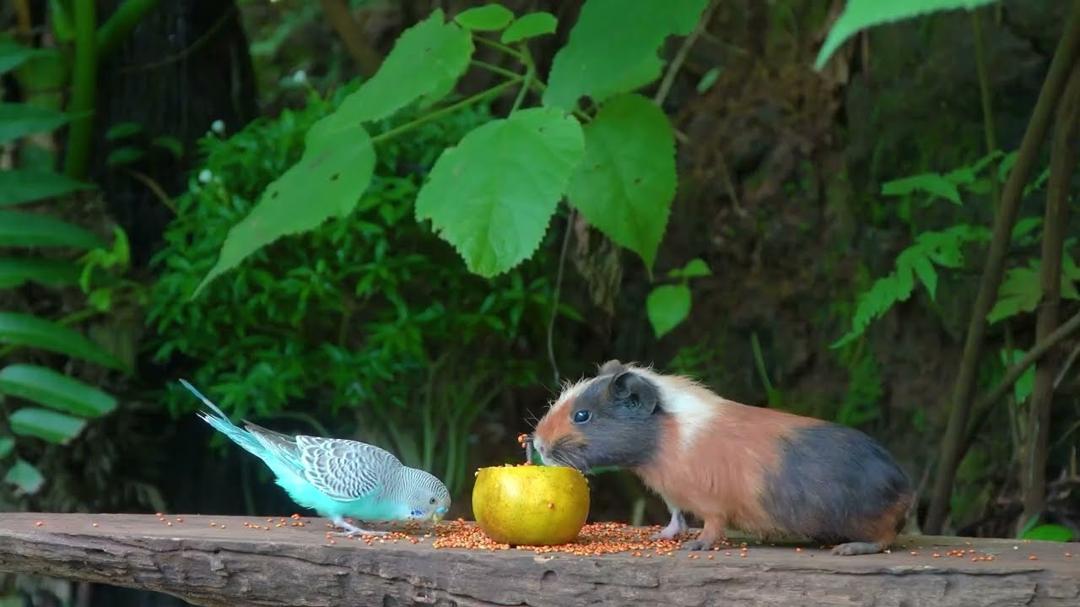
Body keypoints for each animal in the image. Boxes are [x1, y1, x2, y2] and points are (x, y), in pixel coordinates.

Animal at [532, 360, 912, 555]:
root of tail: (903, 488)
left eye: (582, 415)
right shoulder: (673, 495)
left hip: (874, 522)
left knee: (885, 539)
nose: (537, 444)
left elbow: (711, 527)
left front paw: (696, 547)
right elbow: (676, 519)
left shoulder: (711, 504)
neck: (665, 441)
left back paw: (847, 549)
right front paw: (662, 538)